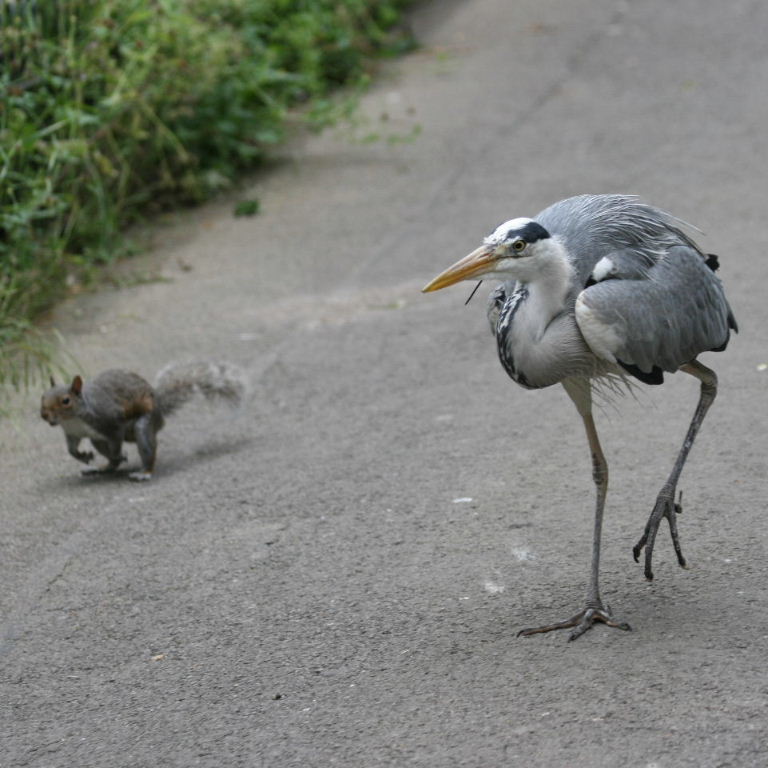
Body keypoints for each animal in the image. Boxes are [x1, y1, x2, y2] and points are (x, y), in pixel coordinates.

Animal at [40, 362, 246, 481]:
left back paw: (143, 472)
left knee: (146, 451)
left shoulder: (110, 421)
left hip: (143, 426)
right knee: (109, 461)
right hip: (97, 439)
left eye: (65, 400)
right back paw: (102, 468)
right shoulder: (72, 432)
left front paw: (118, 454)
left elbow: (116, 441)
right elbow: (71, 450)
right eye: (42, 396)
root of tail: (160, 412)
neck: (73, 419)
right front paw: (83, 456)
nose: (44, 415)